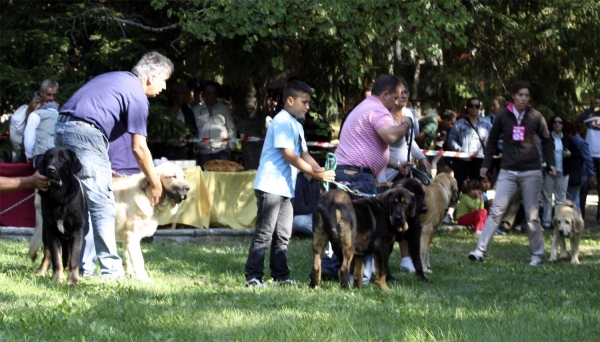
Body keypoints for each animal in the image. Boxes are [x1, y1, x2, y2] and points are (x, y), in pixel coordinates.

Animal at [37, 146, 85, 284]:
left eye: (63, 159)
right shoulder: (51, 230)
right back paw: (40, 272)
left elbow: (73, 260)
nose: (50, 169)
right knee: (47, 253)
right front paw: (57, 280)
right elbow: (56, 258)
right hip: (45, 232)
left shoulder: (76, 230)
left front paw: (73, 281)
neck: (59, 196)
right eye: (48, 158)